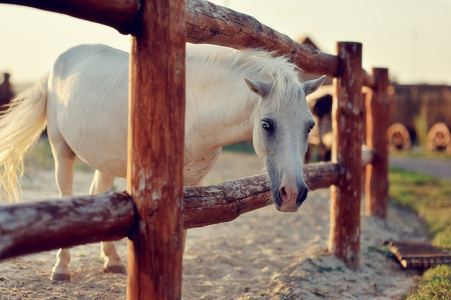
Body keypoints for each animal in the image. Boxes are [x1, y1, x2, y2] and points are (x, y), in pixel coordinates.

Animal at [0, 43, 324, 280]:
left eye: (310, 126)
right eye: (267, 124)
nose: (293, 194)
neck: (191, 107)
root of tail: (57, 63)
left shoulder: (193, 184)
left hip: (104, 161)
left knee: (99, 195)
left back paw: (112, 261)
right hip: (61, 150)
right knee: (65, 196)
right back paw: (62, 267)